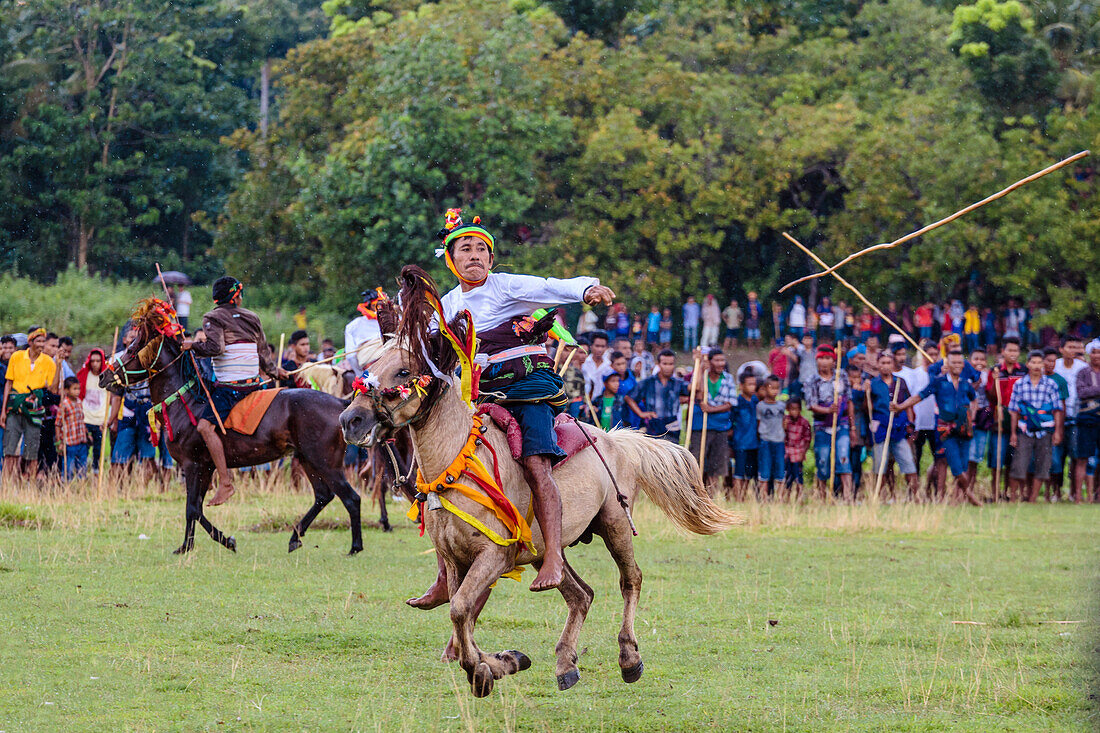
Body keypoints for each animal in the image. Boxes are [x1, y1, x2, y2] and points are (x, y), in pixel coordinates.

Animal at [98, 301, 367, 554]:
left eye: (131, 349)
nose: (102, 376)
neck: (186, 402)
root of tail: (341, 404)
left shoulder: (192, 464)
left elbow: (192, 508)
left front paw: (198, 545)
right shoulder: (206, 467)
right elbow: (196, 508)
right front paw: (211, 542)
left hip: (326, 463)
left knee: (351, 498)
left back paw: (355, 546)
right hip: (307, 459)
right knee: (323, 496)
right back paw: (295, 537)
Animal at [343, 265, 739, 695]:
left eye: (403, 371)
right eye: (373, 363)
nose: (351, 420)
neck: (457, 463)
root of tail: (615, 440)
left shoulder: (494, 555)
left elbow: (462, 609)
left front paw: (484, 670)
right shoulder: (454, 559)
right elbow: (462, 613)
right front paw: (498, 663)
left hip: (614, 522)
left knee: (629, 579)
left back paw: (628, 656)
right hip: (547, 550)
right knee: (581, 595)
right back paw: (565, 662)